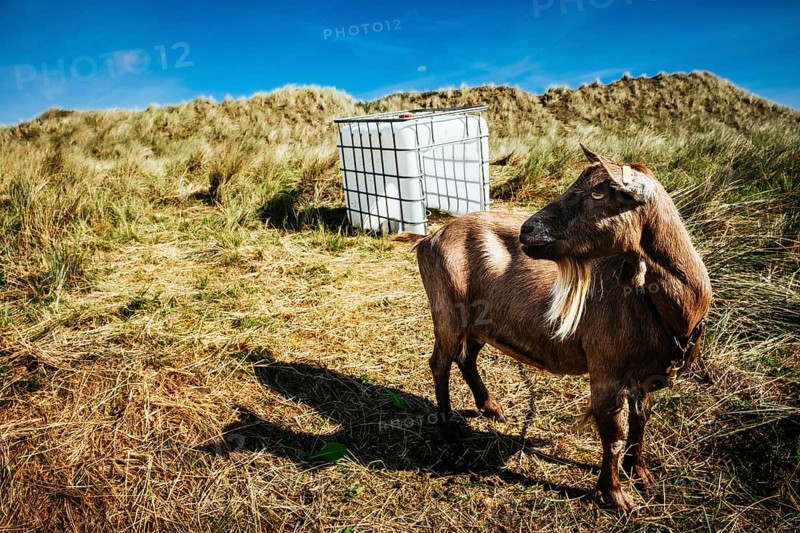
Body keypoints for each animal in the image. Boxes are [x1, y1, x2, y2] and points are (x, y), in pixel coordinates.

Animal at [404, 145, 712, 512]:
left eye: (599, 193)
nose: (526, 231)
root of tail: (429, 239)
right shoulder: (606, 370)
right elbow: (614, 434)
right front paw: (615, 495)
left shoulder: (647, 374)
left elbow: (641, 421)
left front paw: (641, 474)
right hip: (448, 312)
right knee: (440, 362)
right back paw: (449, 427)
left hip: (481, 322)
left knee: (466, 358)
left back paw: (491, 407)